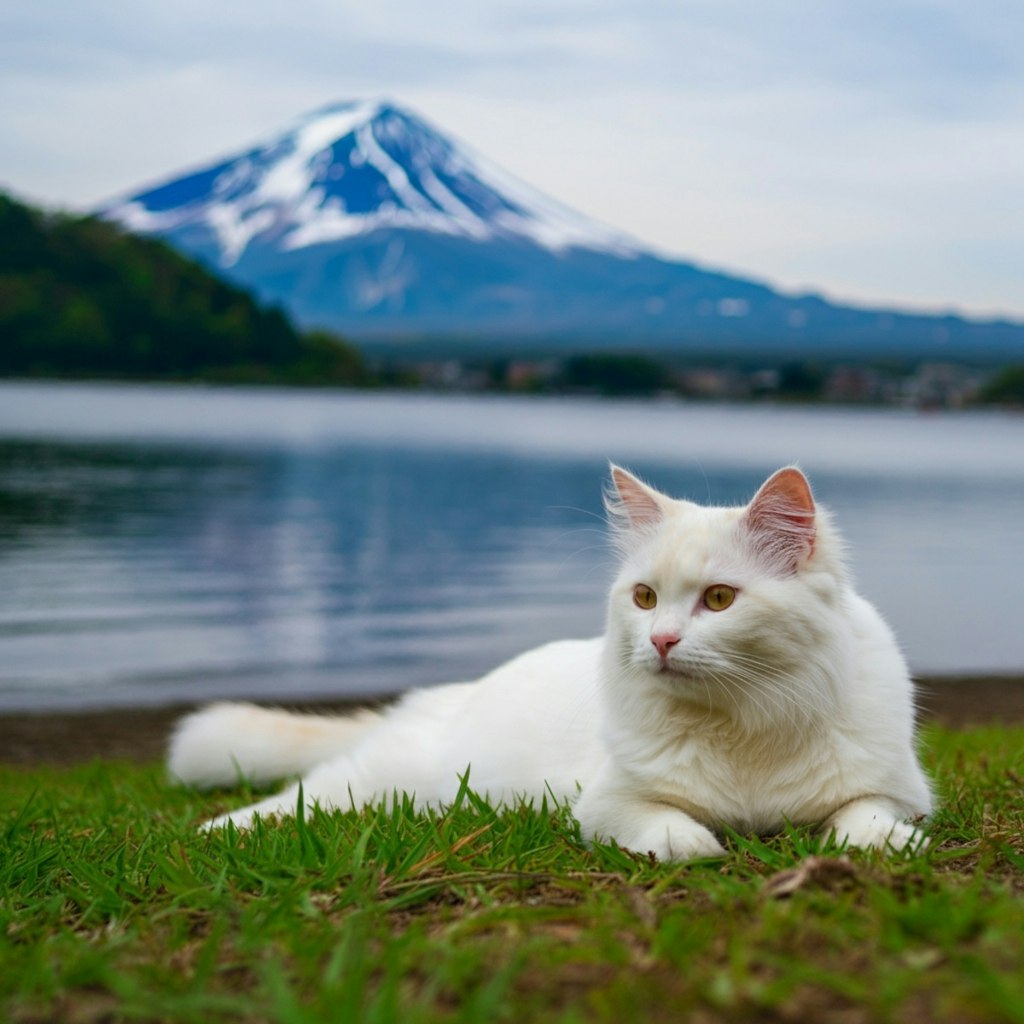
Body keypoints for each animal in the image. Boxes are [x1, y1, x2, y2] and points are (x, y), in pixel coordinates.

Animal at [169, 468, 937, 860]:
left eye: (719, 599)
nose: (660, 641)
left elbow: (864, 823)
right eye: (645, 597)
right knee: (301, 796)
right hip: (390, 782)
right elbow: (678, 836)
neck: (745, 720)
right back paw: (210, 832)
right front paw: (707, 844)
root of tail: (444, 695)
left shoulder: (896, 790)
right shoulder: (607, 803)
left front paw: (884, 845)